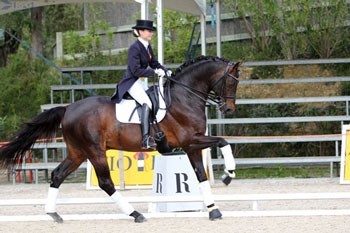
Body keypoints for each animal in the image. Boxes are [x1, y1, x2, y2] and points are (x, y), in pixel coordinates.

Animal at [0, 55, 241, 223]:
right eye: (231, 82)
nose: (228, 108)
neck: (185, 96)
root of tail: (68, 108)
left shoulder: (191, 146)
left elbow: (201, 175)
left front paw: (213, 210)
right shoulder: (191, 140)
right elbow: (223, 141)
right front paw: (228, 175)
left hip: (78, 152)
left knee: (58, 174)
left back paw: (53, 213)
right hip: (95, 151)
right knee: (106, 182)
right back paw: (135, 214)